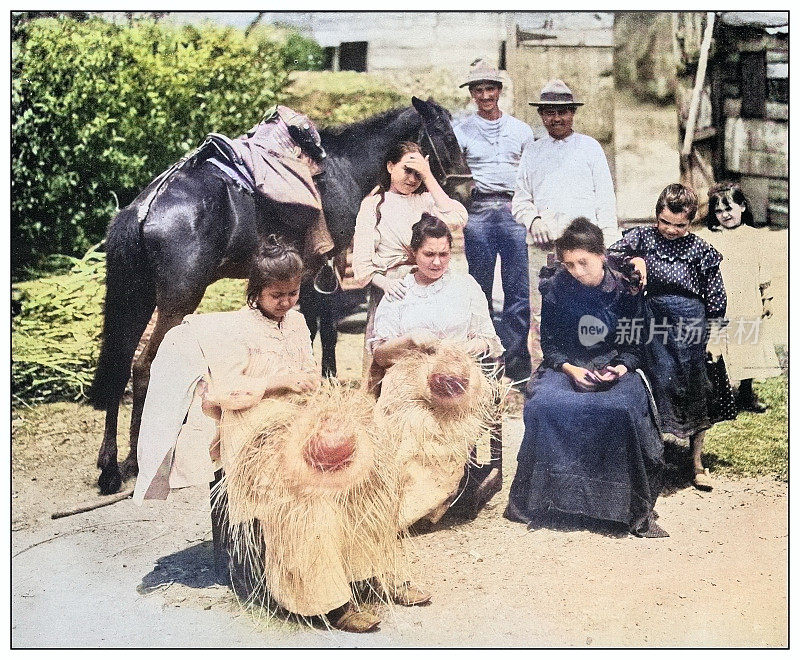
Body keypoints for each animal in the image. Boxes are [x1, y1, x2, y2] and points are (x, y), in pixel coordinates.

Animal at [90, 96, 472, 490]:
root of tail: (144, 207)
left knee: (120, 367)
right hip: (176, 303)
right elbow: (324, 328)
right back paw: (137, 459)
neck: (344, 165)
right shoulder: (324, 264)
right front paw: (324, 382)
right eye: (446, 135)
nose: (467, 190)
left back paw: (112, 466)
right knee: (143, 368)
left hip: (137, 300)